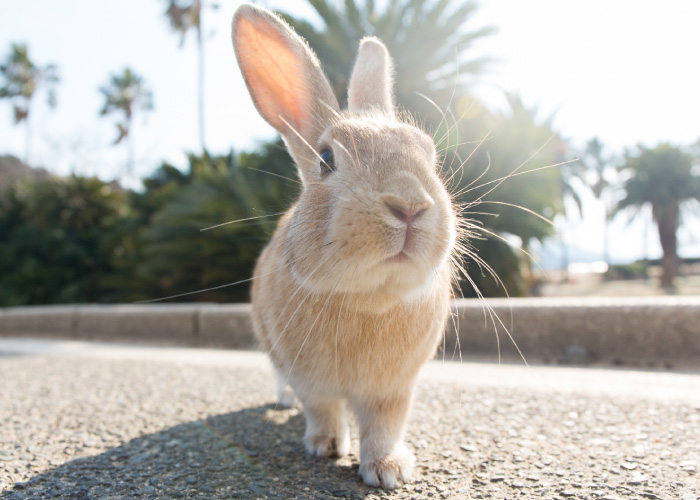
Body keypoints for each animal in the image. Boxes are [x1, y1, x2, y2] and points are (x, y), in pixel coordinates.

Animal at [232, 2, 456, 488]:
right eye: (326, 159)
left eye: (429, 155)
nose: (410, 205)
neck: (368, 298)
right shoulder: (310, 379)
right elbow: (323, 410)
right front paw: (326, 446)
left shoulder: (394, 390)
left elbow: (385, 426)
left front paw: (388, 470)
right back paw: (283, 404)